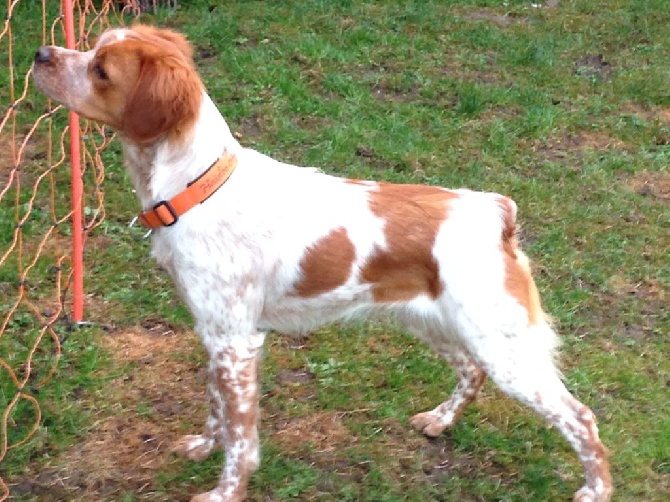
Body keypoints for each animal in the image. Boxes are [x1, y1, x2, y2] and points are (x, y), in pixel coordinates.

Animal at [32, 25, 616, 502]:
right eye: (92, 47)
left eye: (101, 69)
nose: (40, 53)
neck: (195, 186)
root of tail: (496, 211)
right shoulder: (215, 333)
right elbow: (217, 411)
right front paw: (202, 444)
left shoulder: (237, 344)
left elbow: (242, 440)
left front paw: (225, 492)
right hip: (438, 325)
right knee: (470, 373)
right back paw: (438, 422)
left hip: (505, 349)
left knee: (582, 418)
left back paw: (595, 489)